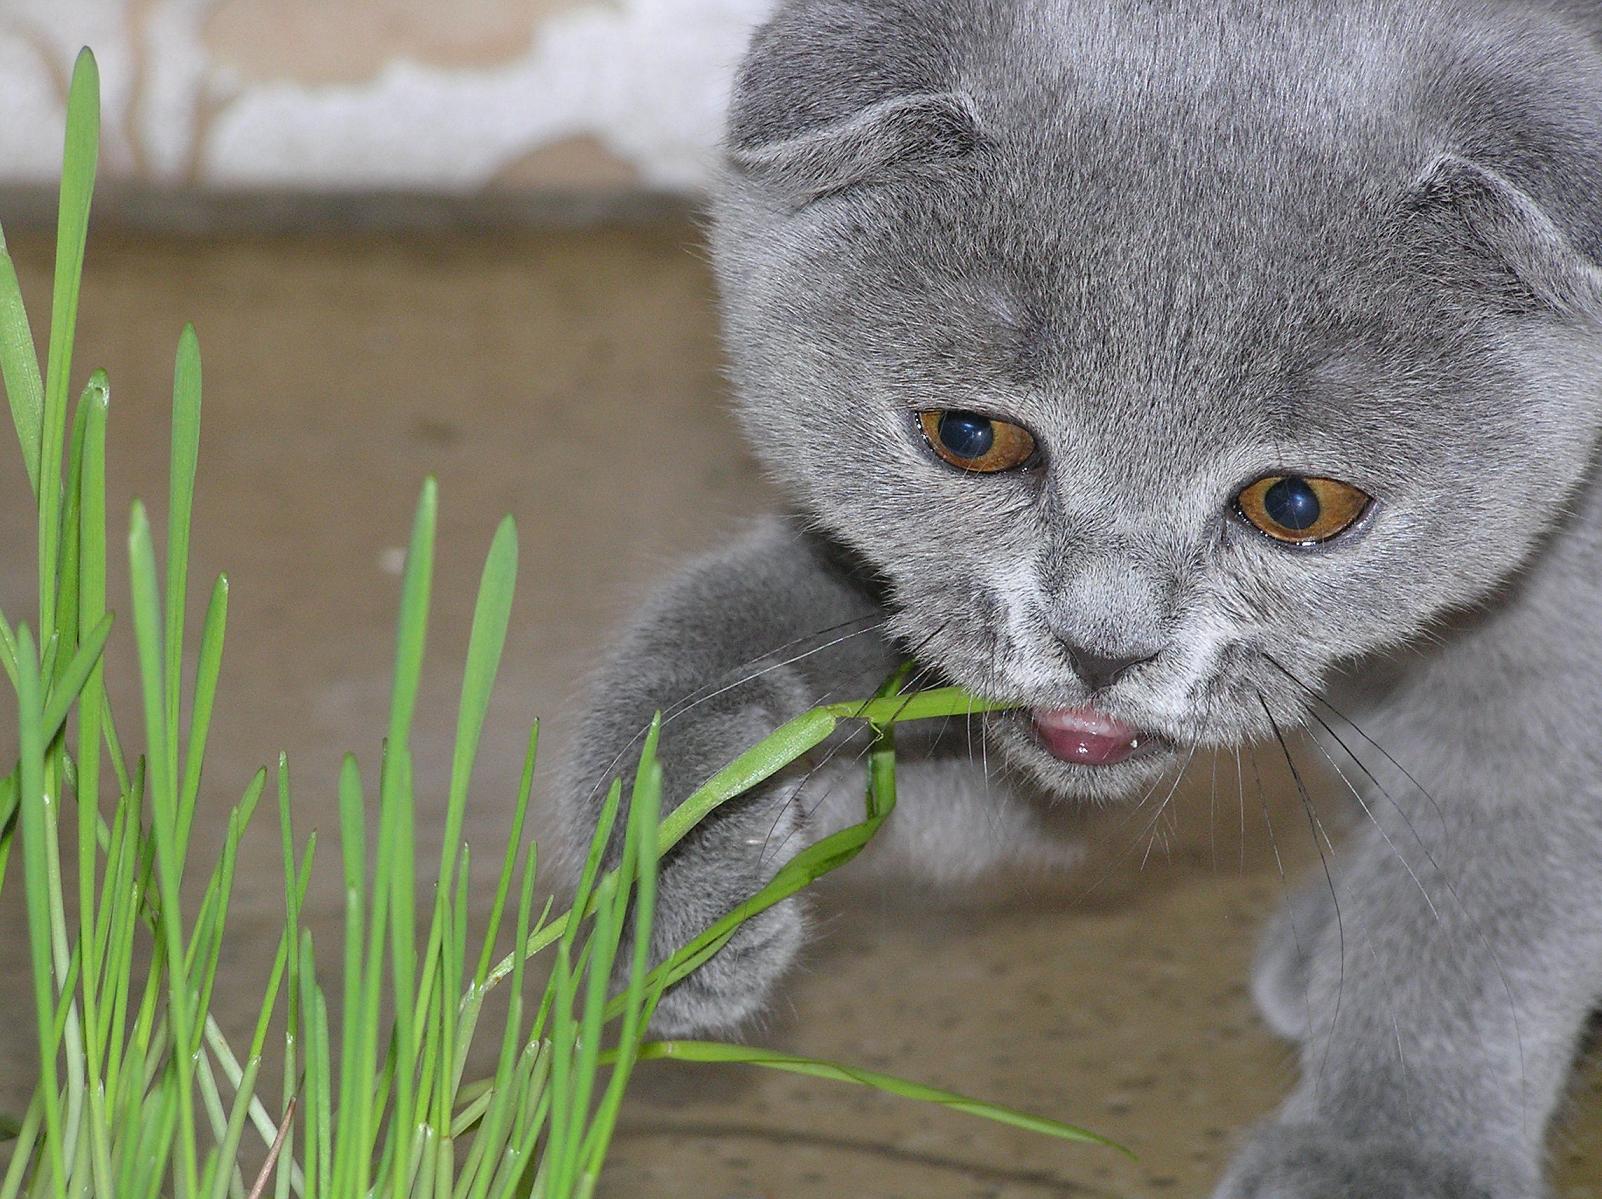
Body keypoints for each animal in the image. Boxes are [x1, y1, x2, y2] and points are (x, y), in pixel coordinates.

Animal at [560, 1, 1602, 1194]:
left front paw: (1381, 1157)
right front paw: (670, 871)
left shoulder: (1556, 649)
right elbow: (716, 634)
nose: (1103, 645)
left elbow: (1492, 883)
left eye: (1301, 503)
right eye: (972, 436)